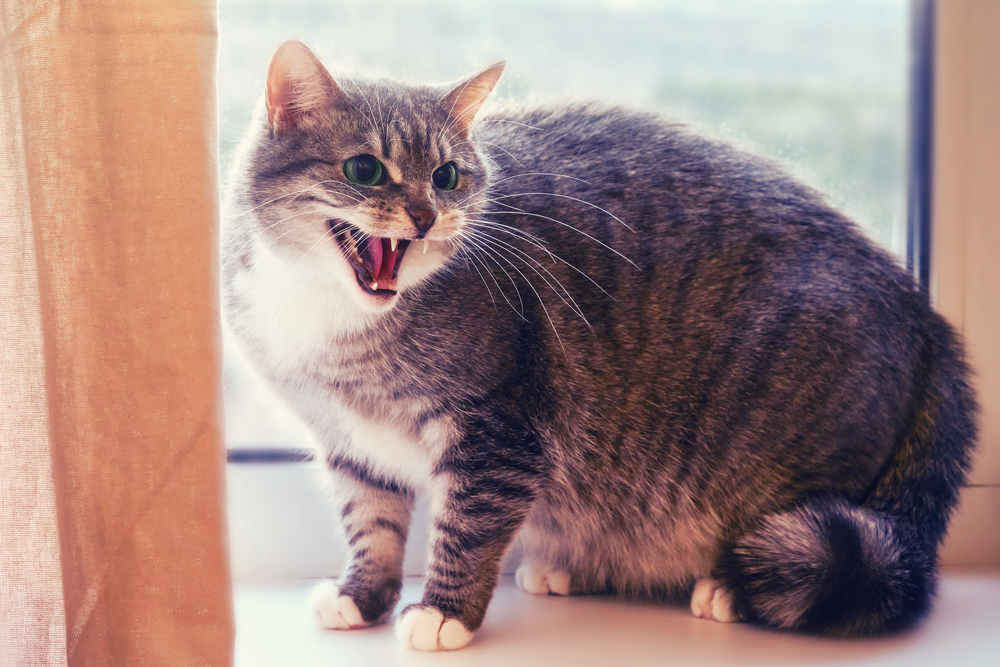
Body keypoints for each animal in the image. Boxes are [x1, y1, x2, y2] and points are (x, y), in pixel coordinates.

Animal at [221, 41, 976, 652]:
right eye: (364, 170)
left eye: (446, 176)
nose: (426, 215)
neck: (330, 318)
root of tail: (925, 313)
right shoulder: (348, 440)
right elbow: (371, 524)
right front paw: (363, 597)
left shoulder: (498, 430)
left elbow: (467, 525)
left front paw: (444, 612)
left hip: (790, 462)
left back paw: (728, 588)